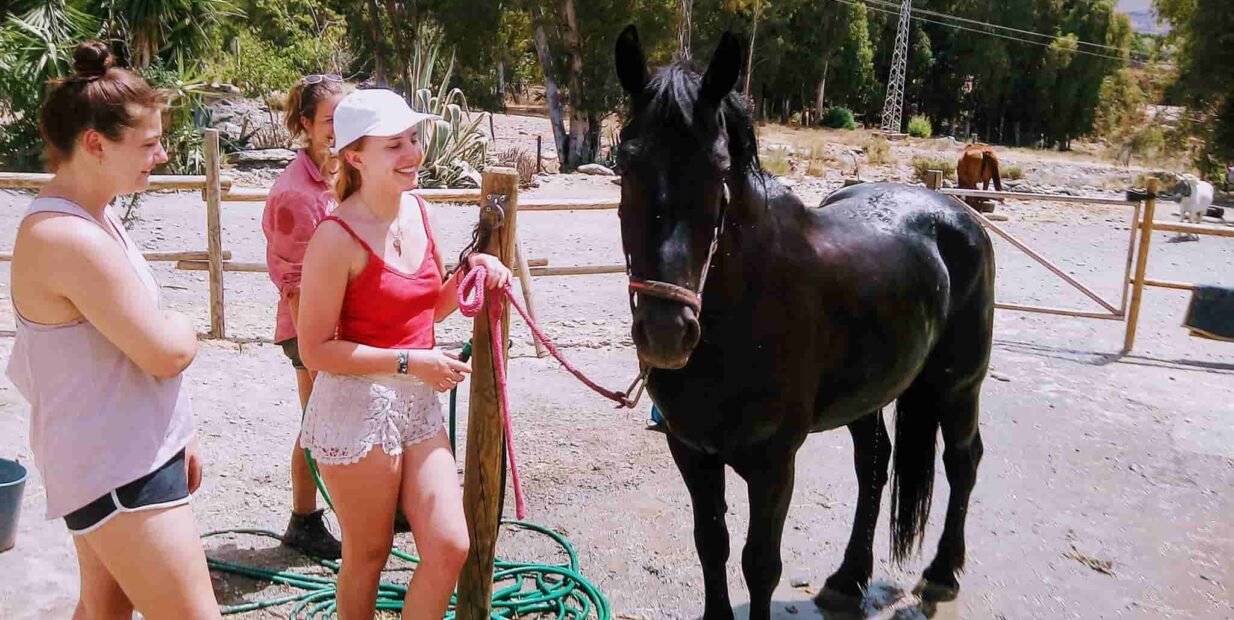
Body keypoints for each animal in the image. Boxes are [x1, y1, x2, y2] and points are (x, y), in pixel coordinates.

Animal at [613, 25, 995, 620]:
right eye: (625, 165)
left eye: (719, 172)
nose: (666, 332)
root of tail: (958, 213)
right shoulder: (692, 450)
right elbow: (711, 543)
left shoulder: (774, 463)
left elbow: (760, 565)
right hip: (869, 393)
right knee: (875, 465)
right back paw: (848, 579)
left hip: (959, 387)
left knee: (962, 462)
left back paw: (941, 572)